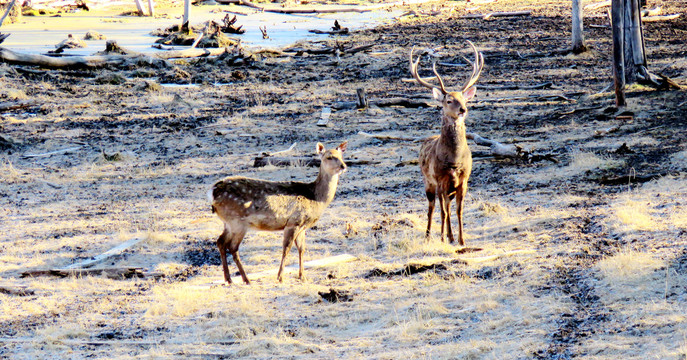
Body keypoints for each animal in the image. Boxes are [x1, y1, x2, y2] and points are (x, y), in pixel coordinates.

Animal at [208, 141, 350, 284]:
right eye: (329, 157)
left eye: (341, 156)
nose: (343, 166)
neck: (316, 199)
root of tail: (213, 192)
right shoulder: (293, 222)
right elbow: (286, 248)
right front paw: (280, 277)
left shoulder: (302, 226)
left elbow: (302, 249)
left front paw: (302, 276)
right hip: (238, 222)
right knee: (232, 247)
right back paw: (246, 279)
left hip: (228, 223)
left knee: (220, 242)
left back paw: (229, 279)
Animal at [412, 40, 486, 246]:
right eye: (448, 100)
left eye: (463, 98)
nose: (463, 109)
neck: (454, 159)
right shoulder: (439, 179)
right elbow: (442, 212)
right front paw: (442, 238)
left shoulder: (464, 179)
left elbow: (459, 211)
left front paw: (461, 240)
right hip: (427, 181)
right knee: (432, 208)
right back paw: (429, 235)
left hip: (449, 189)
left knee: (448, 206)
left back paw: (450, 236)